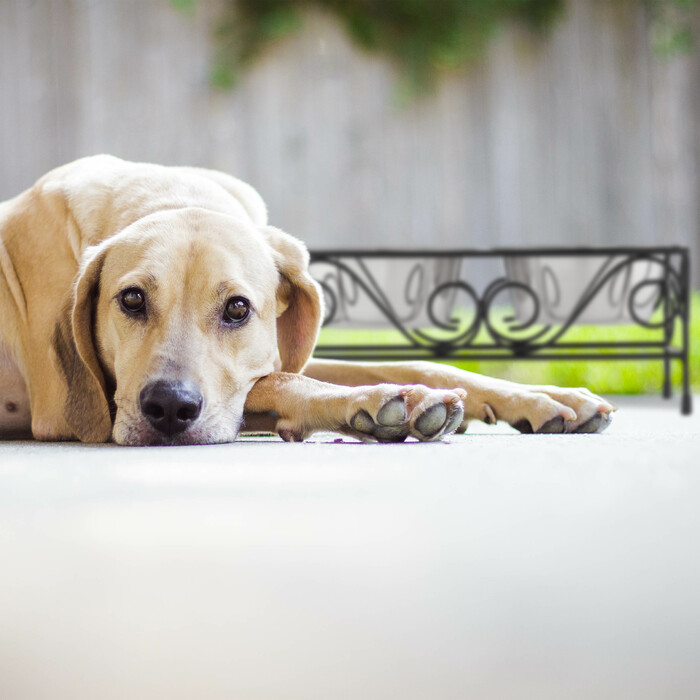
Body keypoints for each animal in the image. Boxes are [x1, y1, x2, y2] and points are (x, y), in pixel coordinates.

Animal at [0, 157, 612, 446]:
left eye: (238, 309)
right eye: (130, 300)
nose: (170, 408)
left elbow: (419, 361)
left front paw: (543, 398)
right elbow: (279, 383)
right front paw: (385, 403)